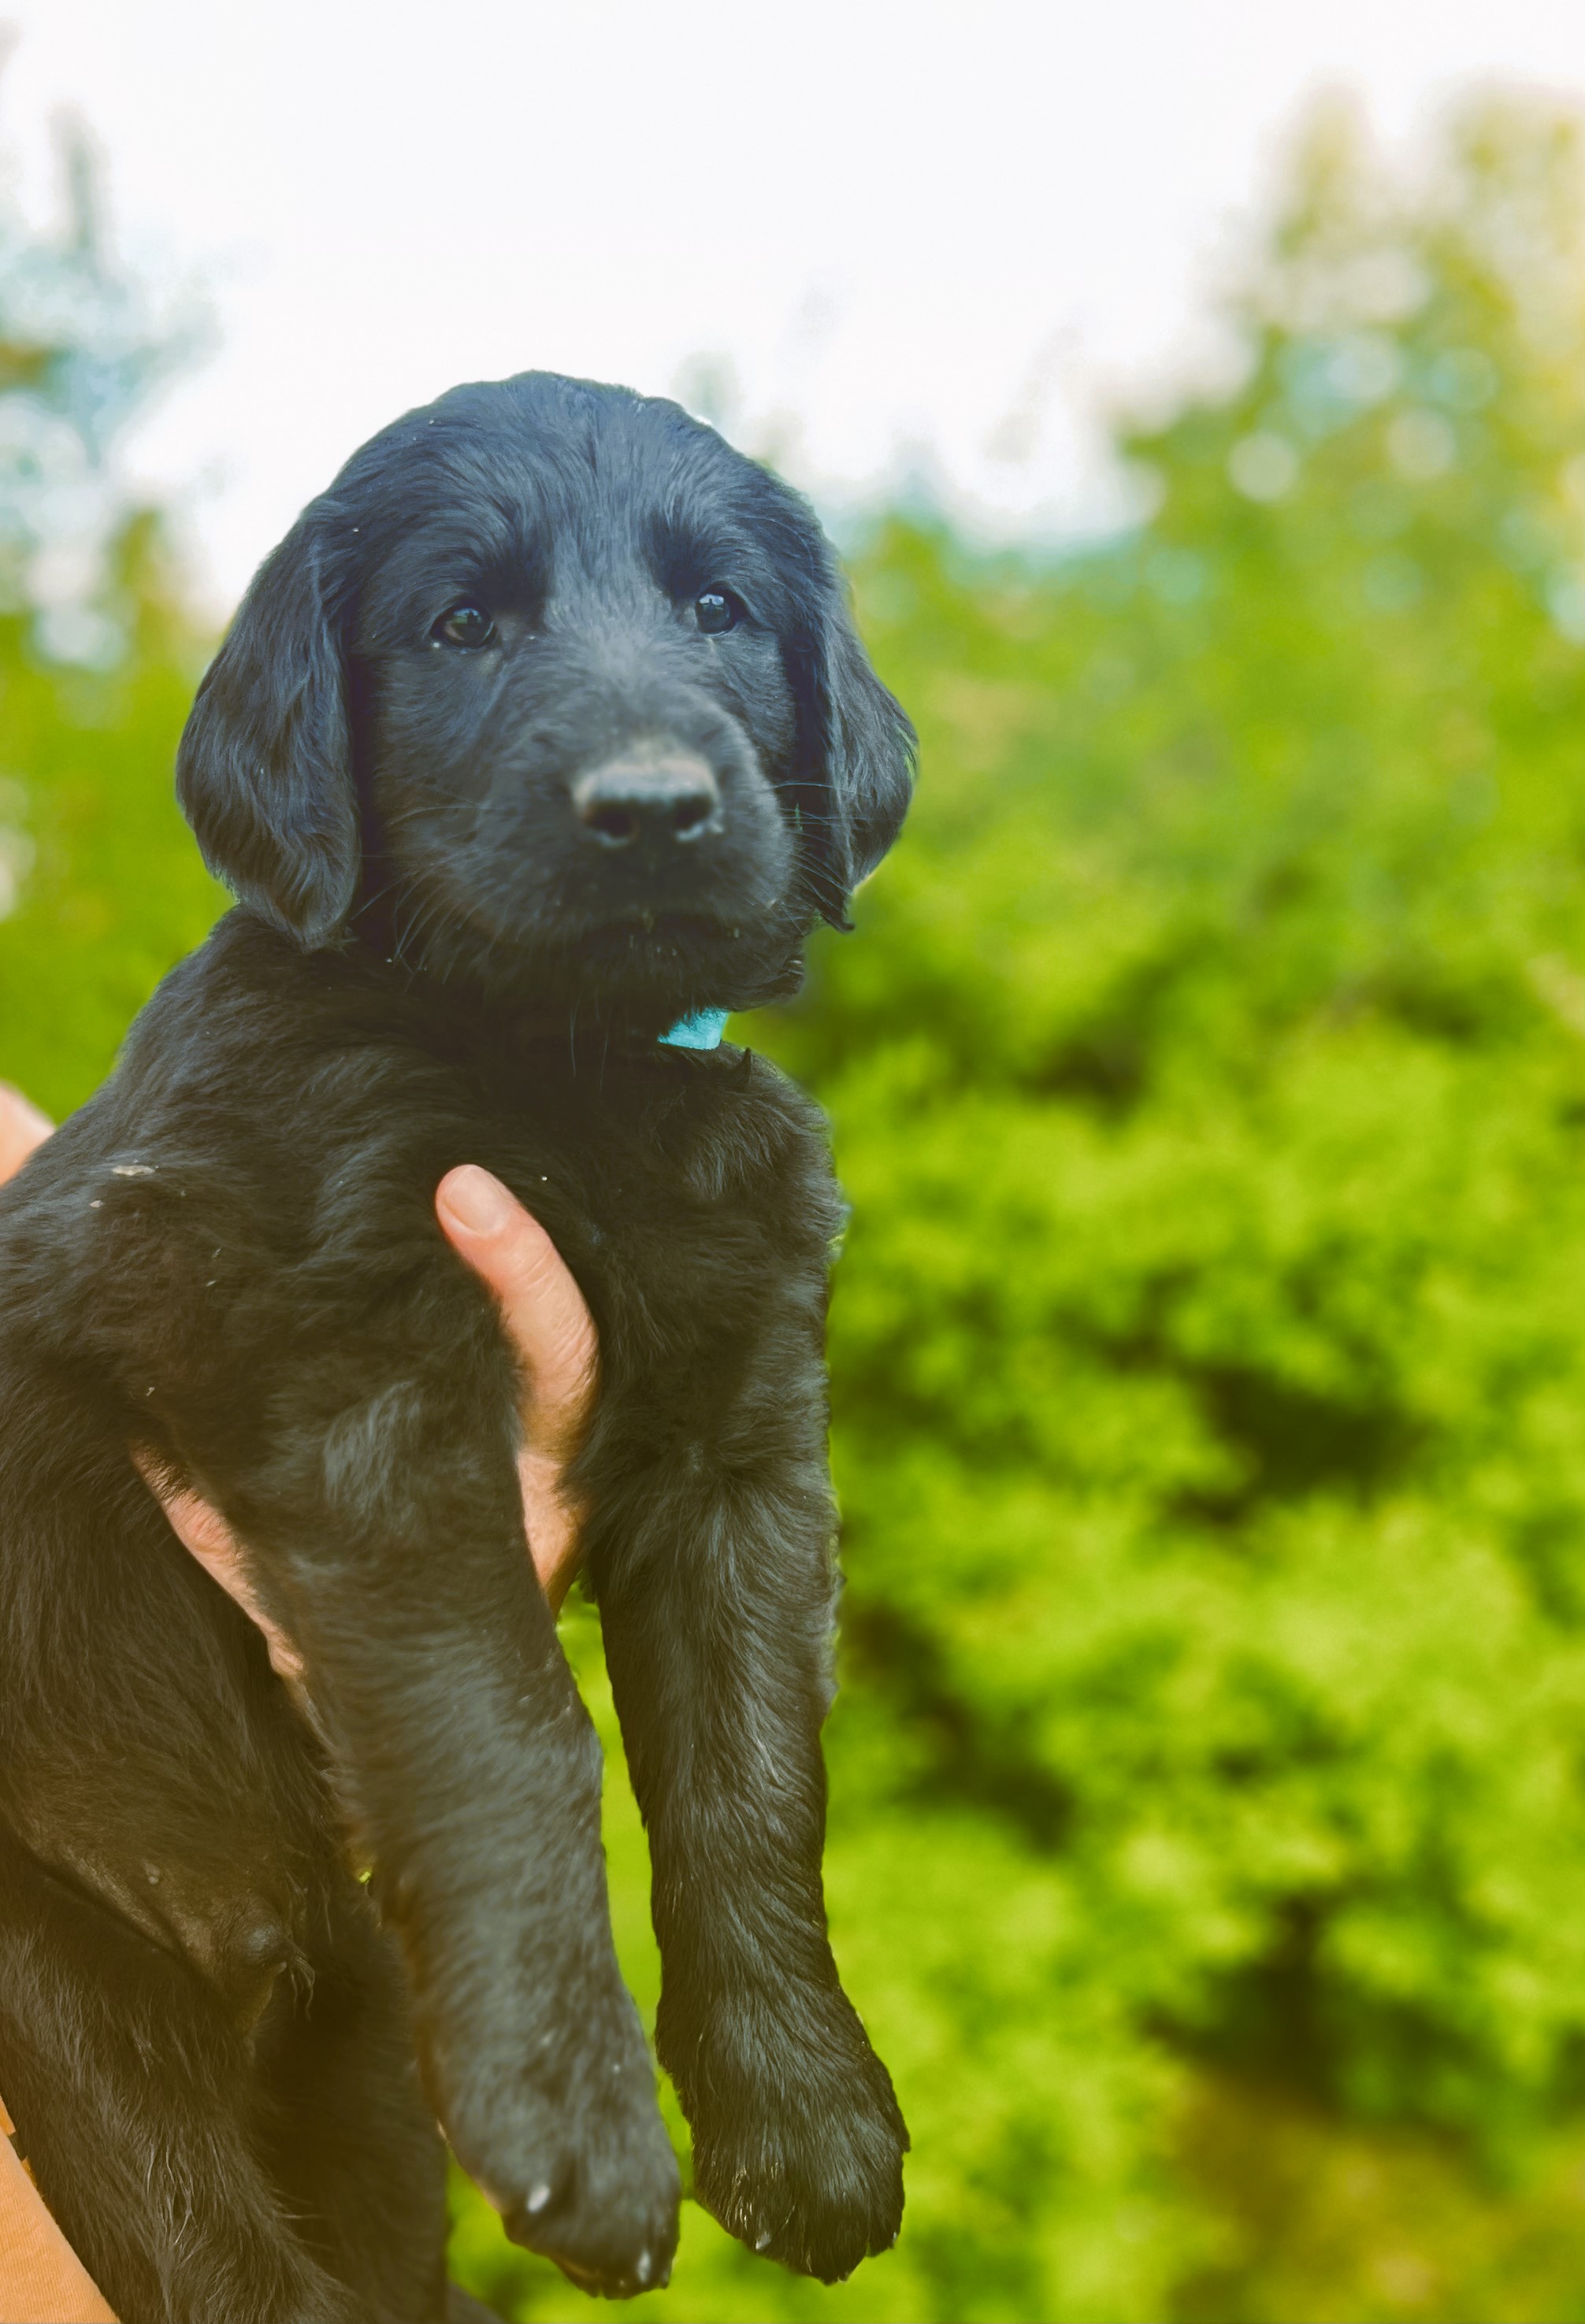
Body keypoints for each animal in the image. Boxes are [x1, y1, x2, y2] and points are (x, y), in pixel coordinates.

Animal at [0, 372, 915, 2315]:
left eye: (719, 608)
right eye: (459, 627)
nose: (649, 807)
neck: (558, 1067)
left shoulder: (743, 1448)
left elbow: (752, 1779)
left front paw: (803, 2113)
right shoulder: (361, 1392)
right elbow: (513, 1725)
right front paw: (580, 2121)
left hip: (359, 2100)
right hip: (67, 2023)